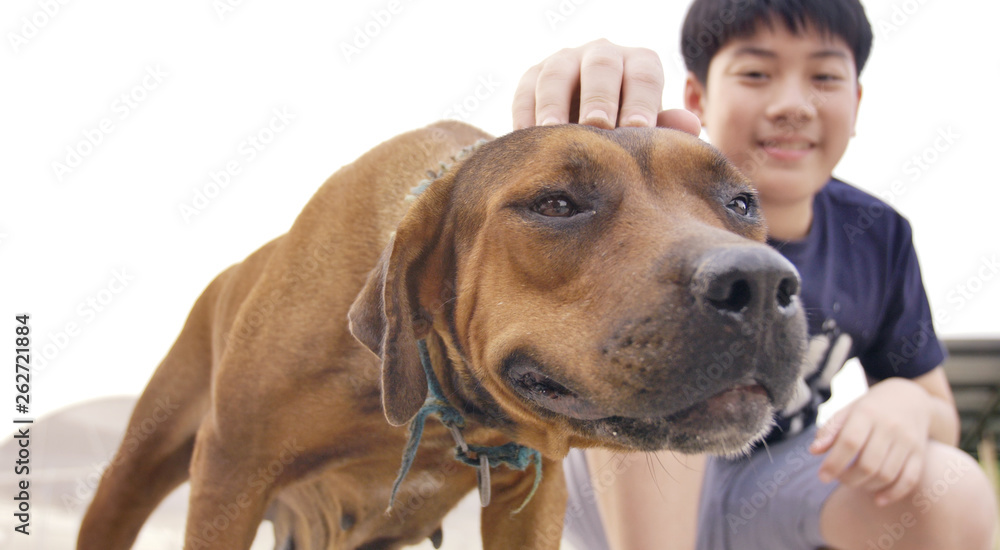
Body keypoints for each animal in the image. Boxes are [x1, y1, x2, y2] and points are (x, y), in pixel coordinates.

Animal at [82, 122, 808, 550]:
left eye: (741, 202)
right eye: (556, 204)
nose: (761, 284)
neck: (437, 397)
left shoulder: (532, 497)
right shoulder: (230, 476)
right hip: (134, 473)